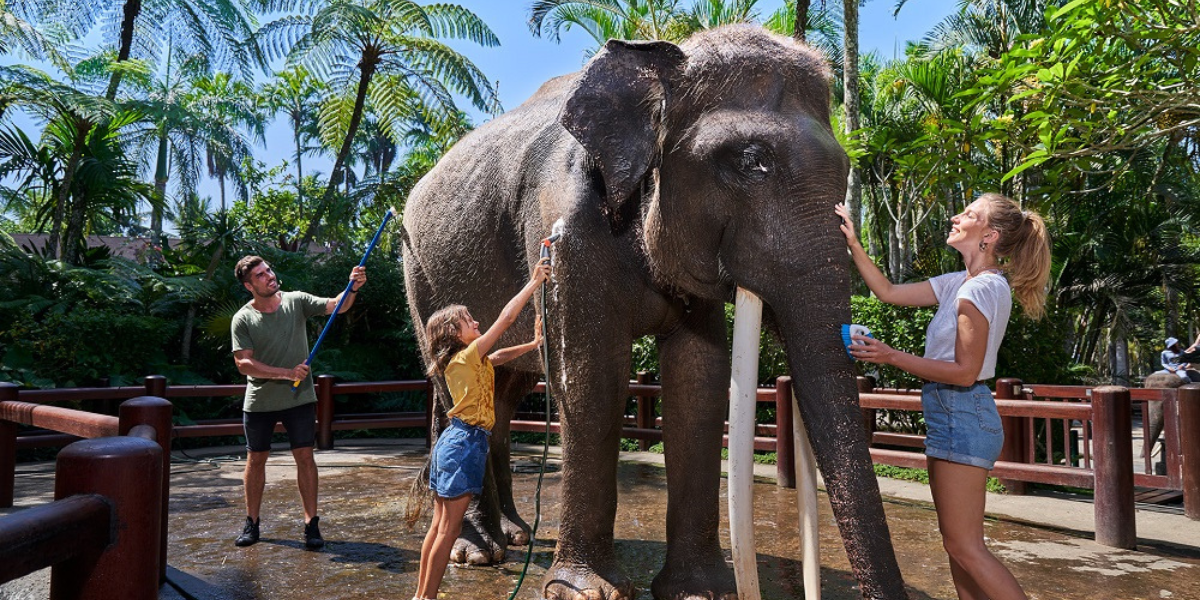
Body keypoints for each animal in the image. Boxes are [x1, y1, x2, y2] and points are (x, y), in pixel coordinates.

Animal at [401, 25, 908, 600]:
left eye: (846, 169)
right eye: (751, 161)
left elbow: (698, 378)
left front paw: (701, 591)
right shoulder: (566, 227)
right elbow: (593, 377)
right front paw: (585, 591)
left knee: (503, 392)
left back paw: (516, 534)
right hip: (421, 275)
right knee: (453, 384)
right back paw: (477, 552)